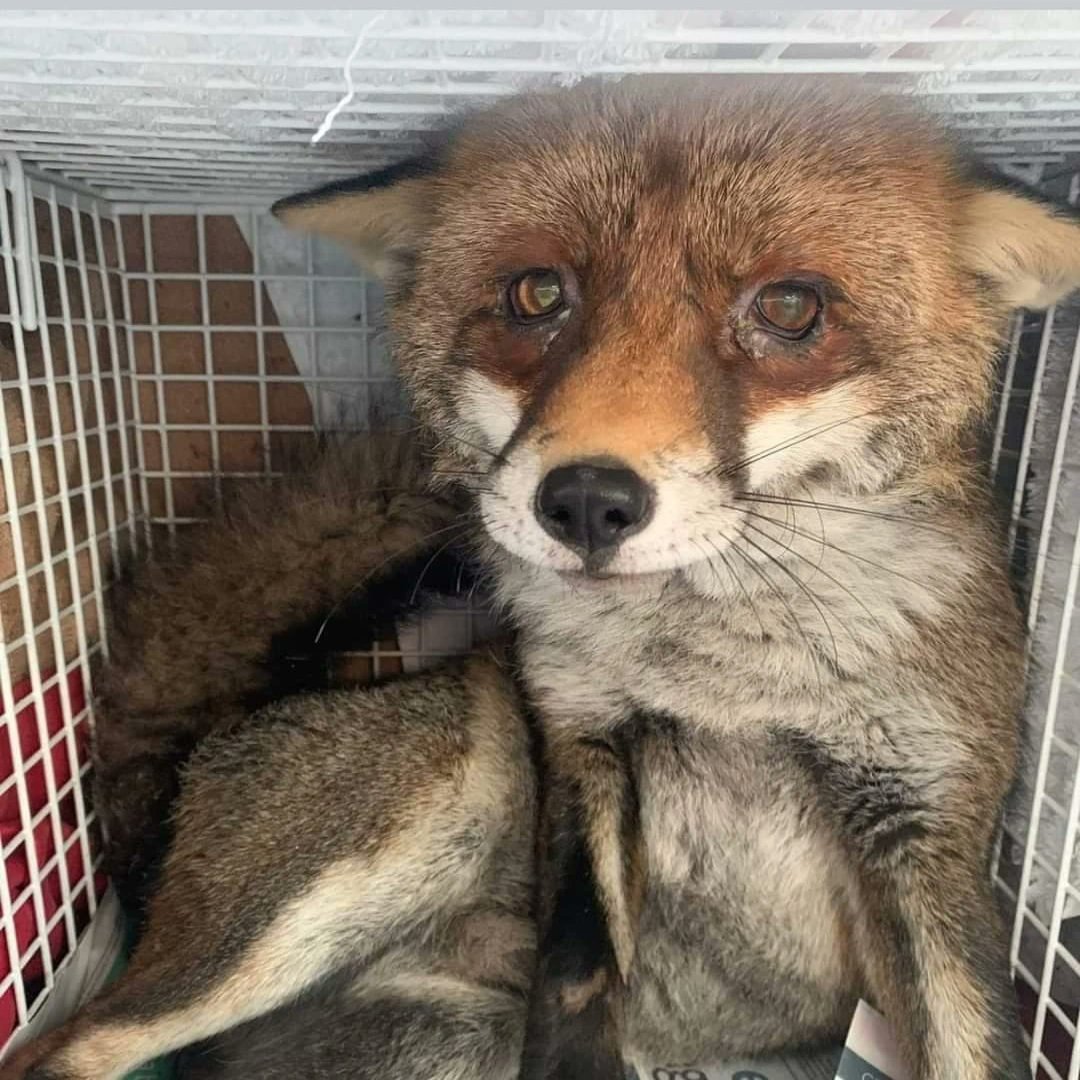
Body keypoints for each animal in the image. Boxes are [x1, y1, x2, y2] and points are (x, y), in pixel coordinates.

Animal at [6, 75, 1080, 1080]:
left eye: (788, 306)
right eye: (537, 293)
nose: (588, 501)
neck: (726, 681)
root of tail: (172, 801)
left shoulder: (929, 831)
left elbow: (974, 1044)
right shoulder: (578, 746)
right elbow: (574, 985)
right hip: (408, 814)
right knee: (65, 1049)